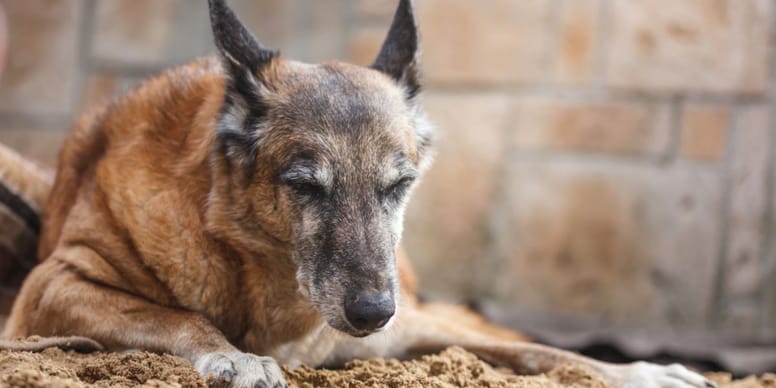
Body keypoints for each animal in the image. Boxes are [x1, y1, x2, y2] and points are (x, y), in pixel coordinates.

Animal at [1, 0, 716, 388]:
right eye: (303, 185)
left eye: (400, 185)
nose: (373, 313)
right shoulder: (55, 286)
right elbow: (182, 317)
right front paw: (232, 358)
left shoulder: (407, 329)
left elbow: (536, 349)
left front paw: (639, 371)